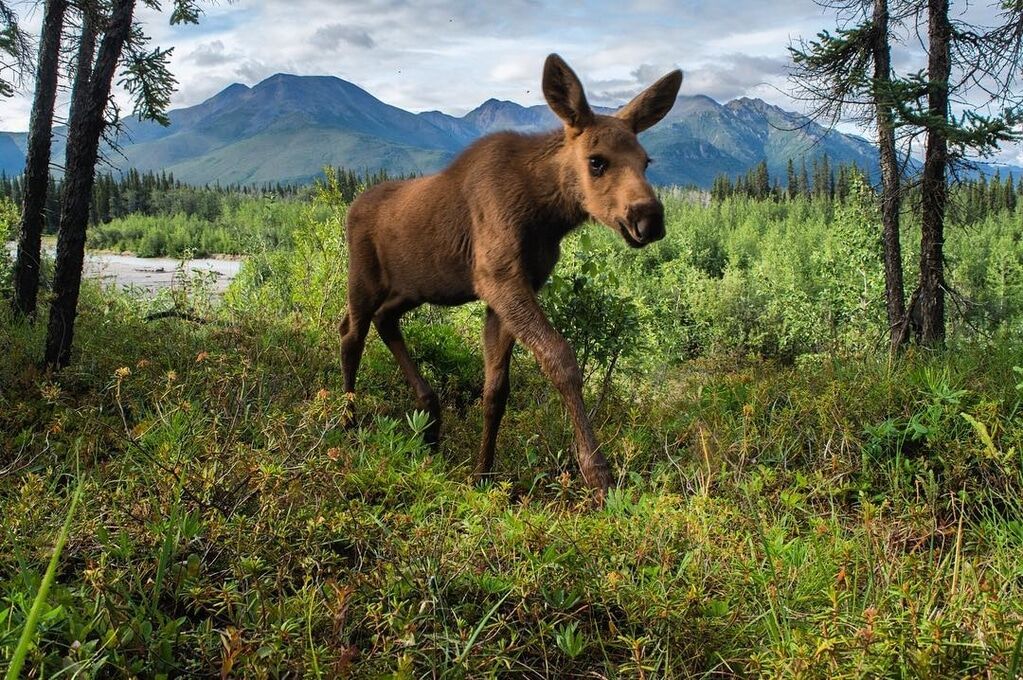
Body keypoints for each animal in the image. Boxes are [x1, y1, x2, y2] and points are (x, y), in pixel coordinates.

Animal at [339, 53, 683, 499]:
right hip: (363, 277)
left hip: (413, 287)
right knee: (351, 334)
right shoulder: (499, 279)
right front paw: (598, 474)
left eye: (646, 161)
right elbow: (560, 358)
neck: (548, 213)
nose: (650, 218)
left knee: (384, 320)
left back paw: (429, 414)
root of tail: (351, 206)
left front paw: (482, 474)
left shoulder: (510, 289)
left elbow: (495, 390)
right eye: (597, 161)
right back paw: (347, 422)